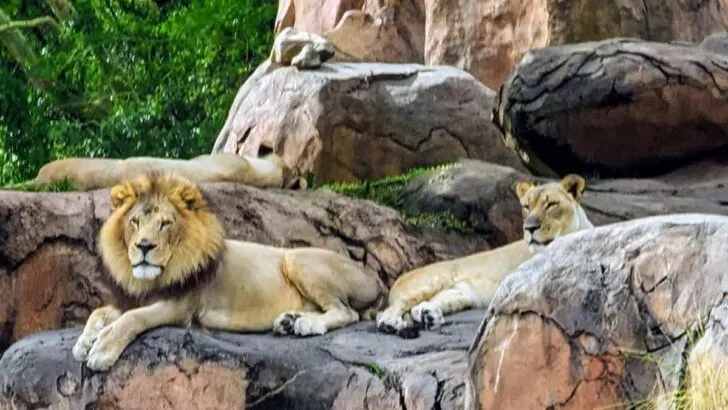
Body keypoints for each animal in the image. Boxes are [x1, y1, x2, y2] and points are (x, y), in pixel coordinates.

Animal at [72, 171, 386, 370]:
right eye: (135, 222)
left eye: (165, 224)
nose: (144, 246)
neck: (152, 279)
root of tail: (375, 280)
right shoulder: (130, 299)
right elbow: (98, 312)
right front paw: (85, 341)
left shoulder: (182, 307)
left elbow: (133, 319)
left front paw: (102, 350)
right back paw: (290, 321)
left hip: (297, 258)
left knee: (347, 312)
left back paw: (307, 324)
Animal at [378, 173, 596, 336]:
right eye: (526, 206)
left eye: (551, 205)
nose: (530, 227)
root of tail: (399, 279)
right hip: (433, 280)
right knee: (388, 310)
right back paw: (391, 323)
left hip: (461, 294)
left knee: (420, 306)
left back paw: (428, 316)